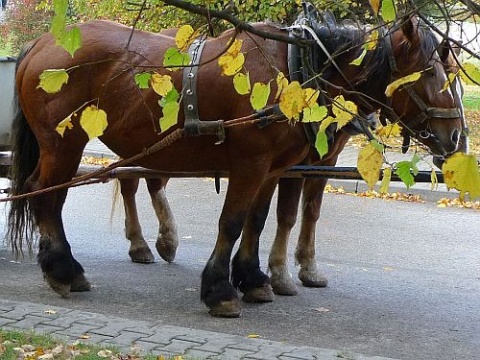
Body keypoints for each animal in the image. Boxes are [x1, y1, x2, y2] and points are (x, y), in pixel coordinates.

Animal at [8, 16, 464, 318]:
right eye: (431, 75)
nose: (457, 137)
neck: (294, 70)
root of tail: (41, 43)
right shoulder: (250, 164)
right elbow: (232, 221)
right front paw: (220, 289)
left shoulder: (274, 169)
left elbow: (258, 221)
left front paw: (254, 279)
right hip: (63, 144)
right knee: (45, 195)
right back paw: (62, 269)